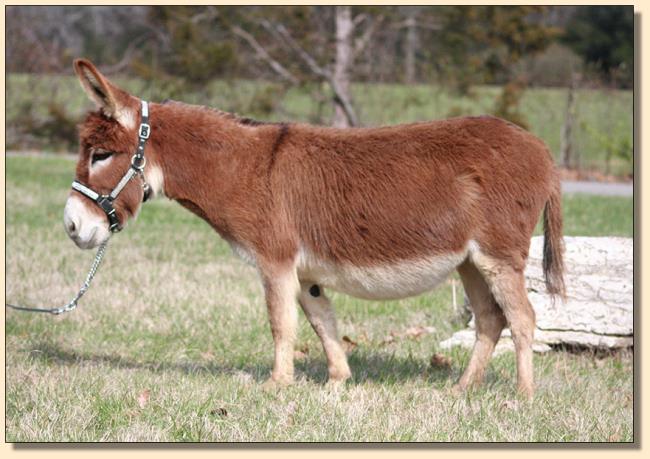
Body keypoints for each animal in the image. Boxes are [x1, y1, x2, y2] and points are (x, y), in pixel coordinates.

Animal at [64, 59, 565, 398]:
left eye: (101, 155)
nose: (71, 225)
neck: (246, 169)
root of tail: (541, 149)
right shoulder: (306, 273)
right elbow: (322, 322)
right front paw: (338, 381)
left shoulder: (275, 261)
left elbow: (280, 323)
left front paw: (275, 386)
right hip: (469, 262)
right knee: (491, 320)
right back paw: (461, 389)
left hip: (498, 255)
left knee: (523, 318)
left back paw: (522, 396)